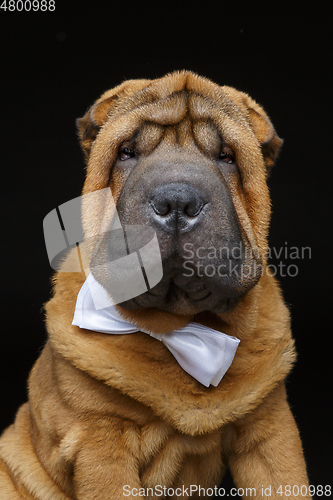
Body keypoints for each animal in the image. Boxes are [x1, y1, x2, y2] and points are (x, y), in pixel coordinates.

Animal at [1, 71, 310, 500]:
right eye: (127, 153)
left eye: (227, 157)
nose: (176, 202)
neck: (181, 329)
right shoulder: (100, 441)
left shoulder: (269, 429)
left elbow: (286, 480)